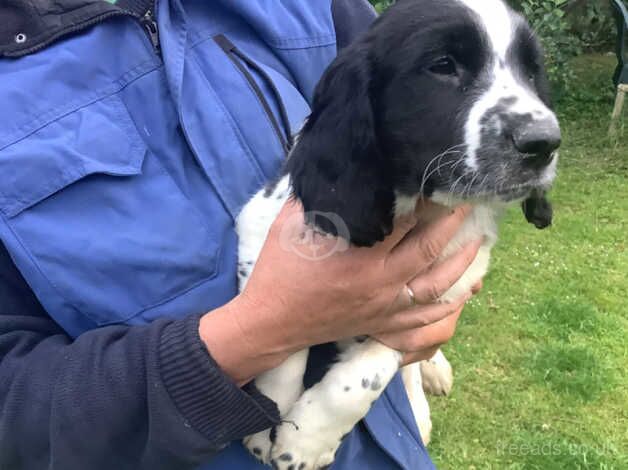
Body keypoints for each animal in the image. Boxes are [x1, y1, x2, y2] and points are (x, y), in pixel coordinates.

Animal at [237, 1, 560, 468]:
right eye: (443, 65)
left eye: (532, 73)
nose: (543, 143)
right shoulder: (258, 226)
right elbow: (282, 340)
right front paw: (266, 425)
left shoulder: (439, 292)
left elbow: (367, 374)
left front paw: (307, 441)